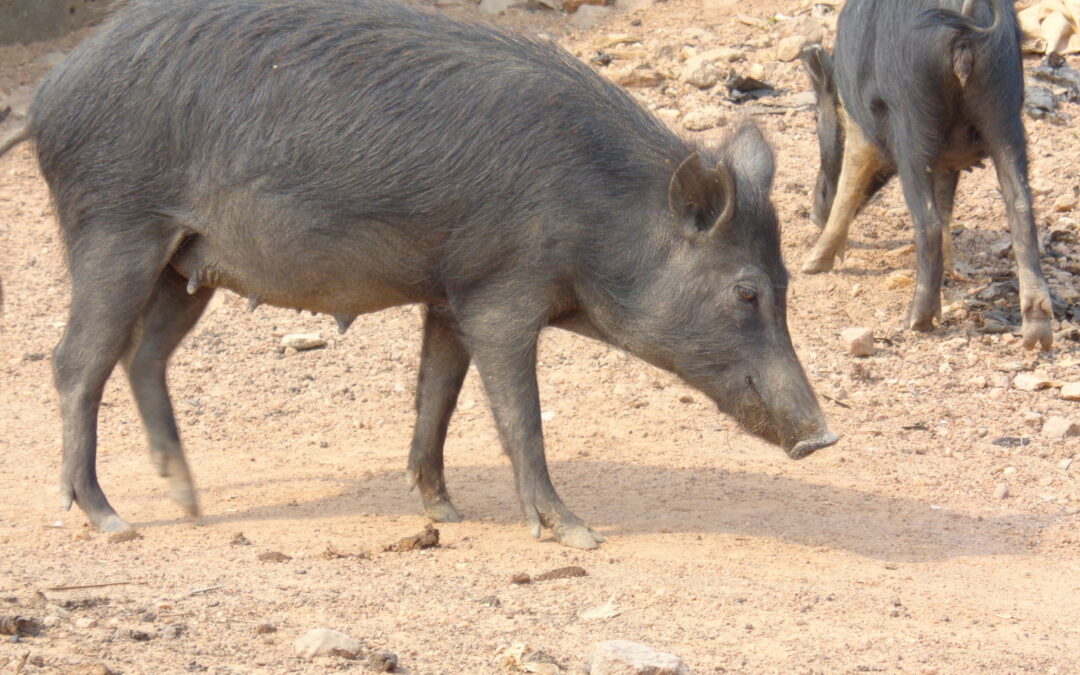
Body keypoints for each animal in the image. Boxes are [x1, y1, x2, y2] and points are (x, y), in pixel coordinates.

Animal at [0, 0, 836, 549]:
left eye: (788, 285)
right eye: (746, 291)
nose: (824, 436)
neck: (600, 212)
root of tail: (47, 93)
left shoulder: (449, 293)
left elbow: (437, 394)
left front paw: (444, 513)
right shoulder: (500, 294)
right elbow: (519, 415)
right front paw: (575, 535)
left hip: (187, 263)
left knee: (144, 356)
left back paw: (190, 502)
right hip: (114, 227)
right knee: (76, 361)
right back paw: (112, 520)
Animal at [799, 0, 1054, 350]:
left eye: (815, 120)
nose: (812, 215)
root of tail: (967, 20)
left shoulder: (860, 125)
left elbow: (850, 185)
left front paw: (809, 266)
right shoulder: (949, 157)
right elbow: (946, 205)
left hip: (912, 120)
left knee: (927, 221)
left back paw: (915, 322)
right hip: (1005, 109)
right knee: (1020, 205)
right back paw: (1037, 335)